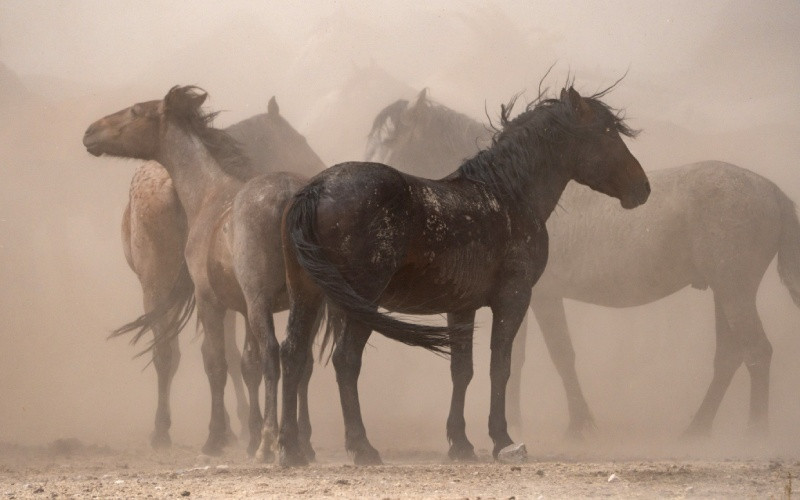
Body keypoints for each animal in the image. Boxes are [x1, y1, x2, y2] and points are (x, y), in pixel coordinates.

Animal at [368, 90, 800, 442]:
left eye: (392, 143)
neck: (508, 194)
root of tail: (775, 193)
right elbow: (518, 358)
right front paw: (519, 420)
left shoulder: (540, 297)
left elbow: (557, 355)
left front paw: (577, 424)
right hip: (724, 291)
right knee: (730, 356)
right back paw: (698, 429)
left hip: (735, 290)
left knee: (756, 352)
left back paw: (755, 433)